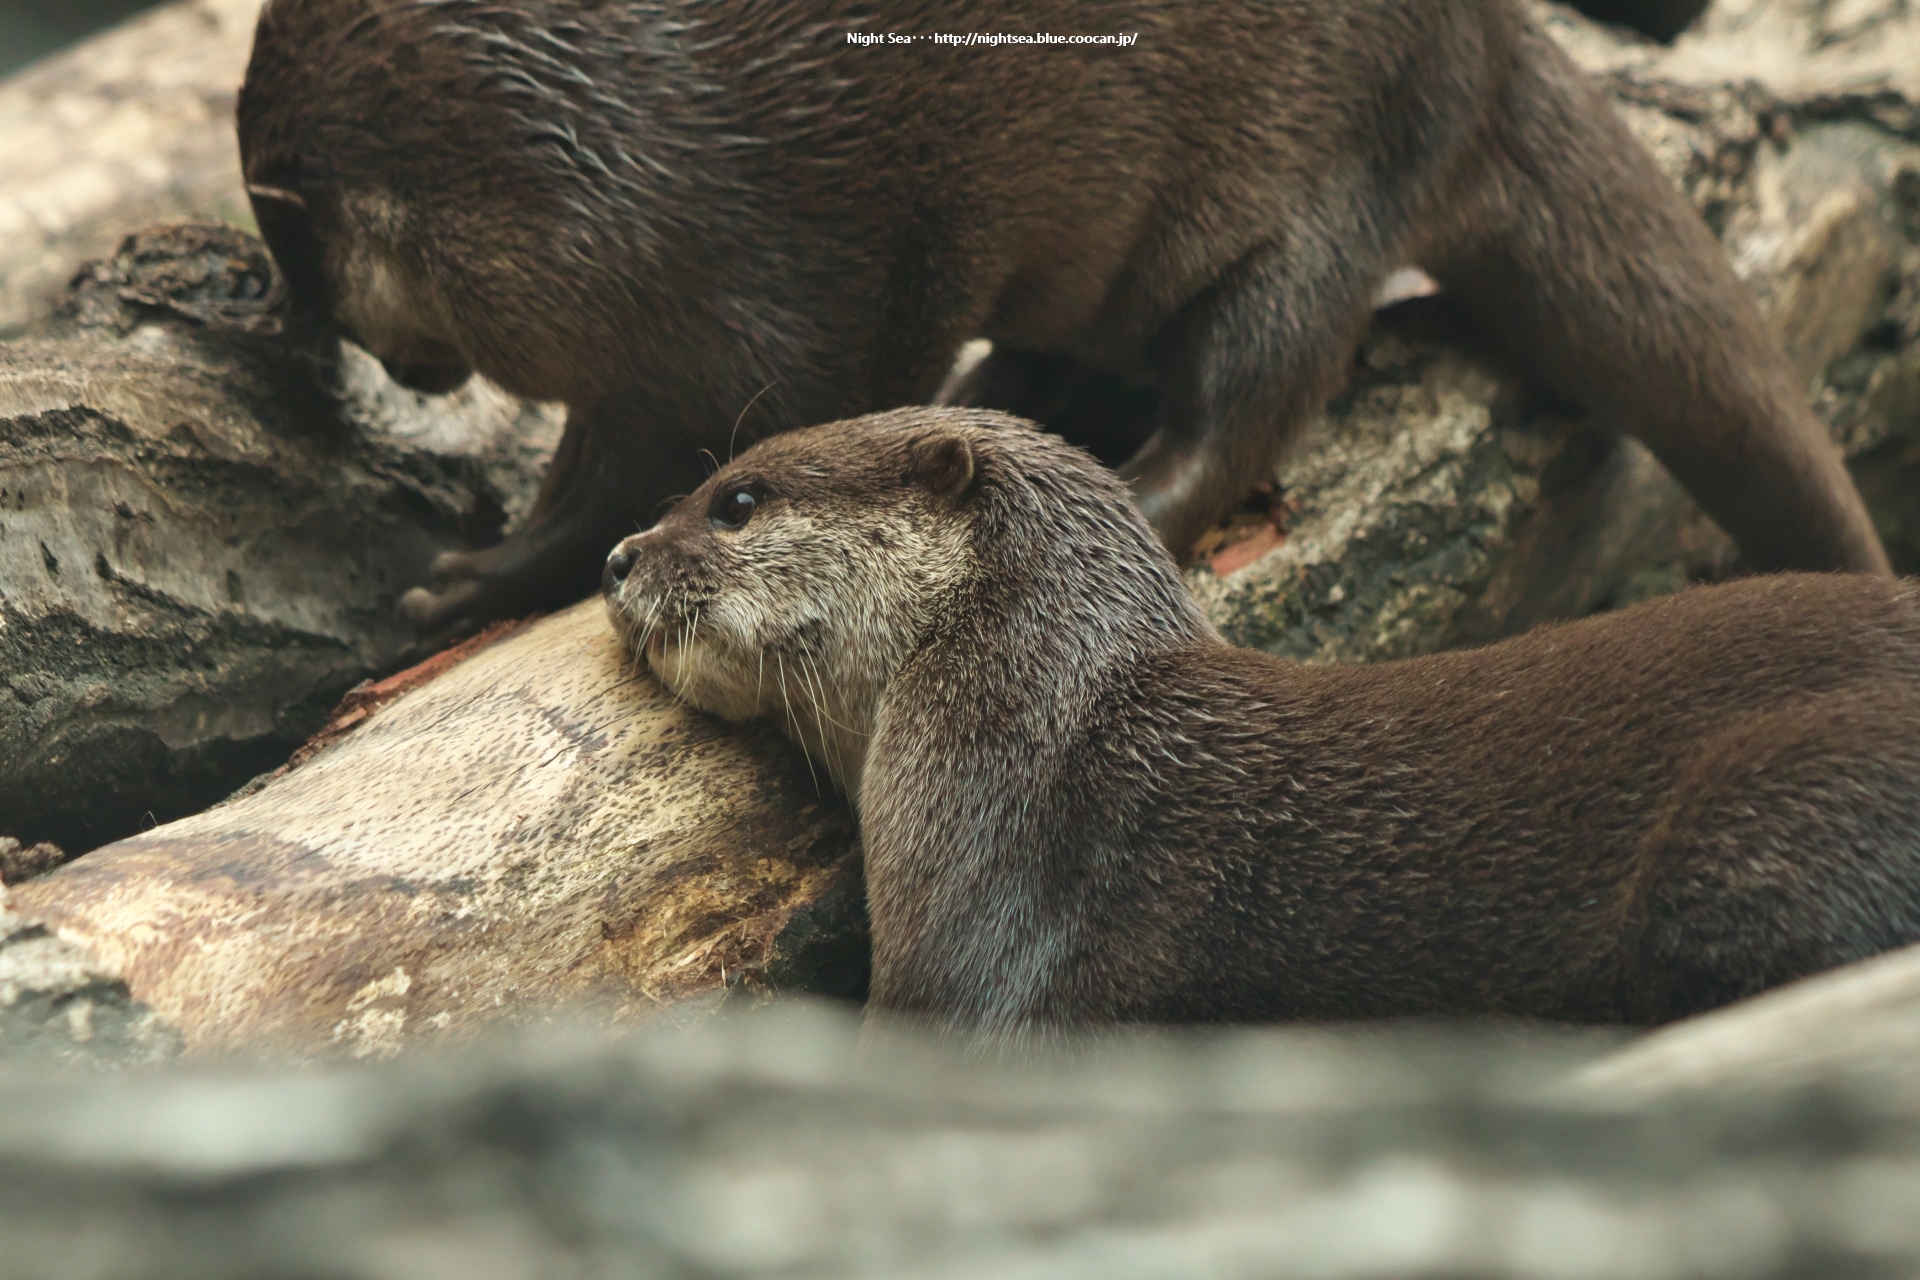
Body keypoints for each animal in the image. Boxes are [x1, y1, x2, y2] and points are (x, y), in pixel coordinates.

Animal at [236, 1, 1889, 637]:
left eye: (297, 268)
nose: (379, 363)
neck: (618, 161)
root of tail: (1488, 46)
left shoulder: (788, 289)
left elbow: (671, 465)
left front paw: (486, 578)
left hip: (1327, 175)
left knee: (1261, 378)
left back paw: (1143, 490)